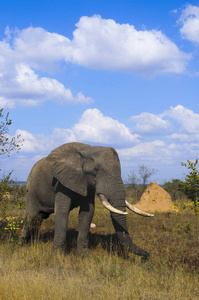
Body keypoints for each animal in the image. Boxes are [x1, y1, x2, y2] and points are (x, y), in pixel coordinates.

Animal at [20, 143, 153, 258]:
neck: (87, 151)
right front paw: (57, 257)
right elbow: (62, 212)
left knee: (39, 218)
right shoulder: (61, 181)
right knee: (32, 215)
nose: (147, 255)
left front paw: (85, 255)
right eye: (96, 169)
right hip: (31, 189)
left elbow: (87, 212)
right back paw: (22, 244)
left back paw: (34, 241)